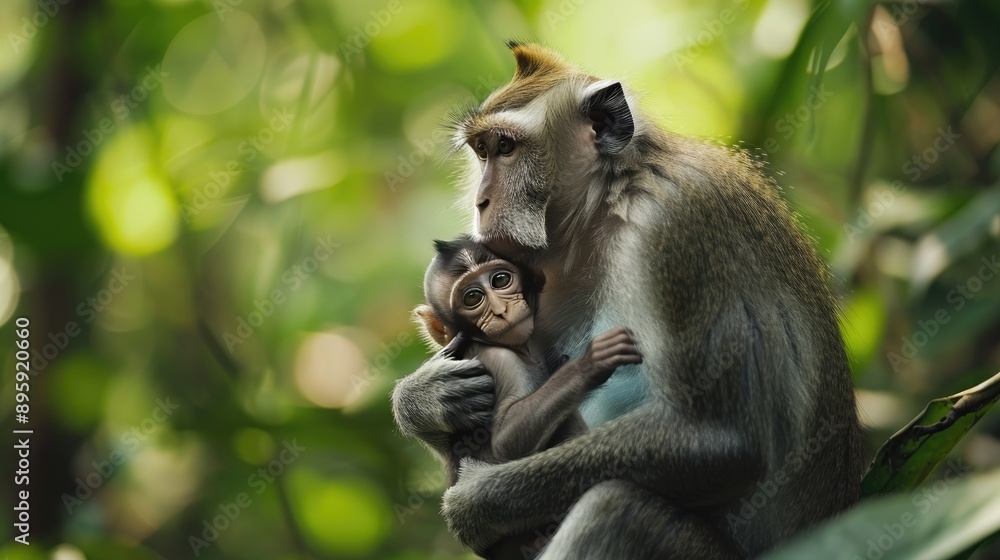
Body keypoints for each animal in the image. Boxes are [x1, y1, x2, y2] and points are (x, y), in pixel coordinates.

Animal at [413, 235, 642, 560]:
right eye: (472, 298)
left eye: (500, 280)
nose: (500, 310)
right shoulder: (497, 360)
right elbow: (504, 442)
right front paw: (590, 363)